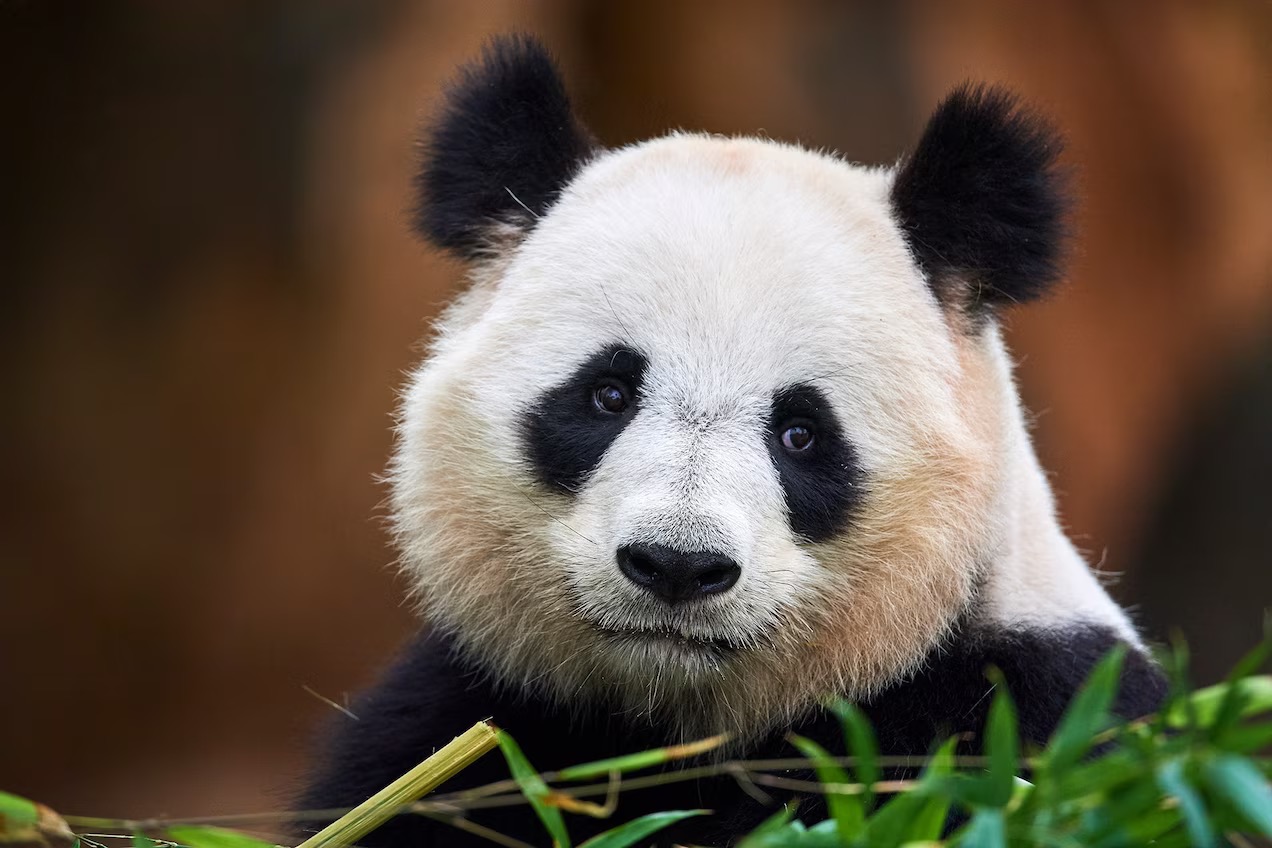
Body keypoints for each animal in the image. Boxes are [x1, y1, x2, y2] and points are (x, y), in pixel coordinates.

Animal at [299, 34, 1167, 847]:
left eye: (801, 433)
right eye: (608, 394)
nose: (678, 565)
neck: (674, 722)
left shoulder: (1023, 712)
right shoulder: (473, 711)